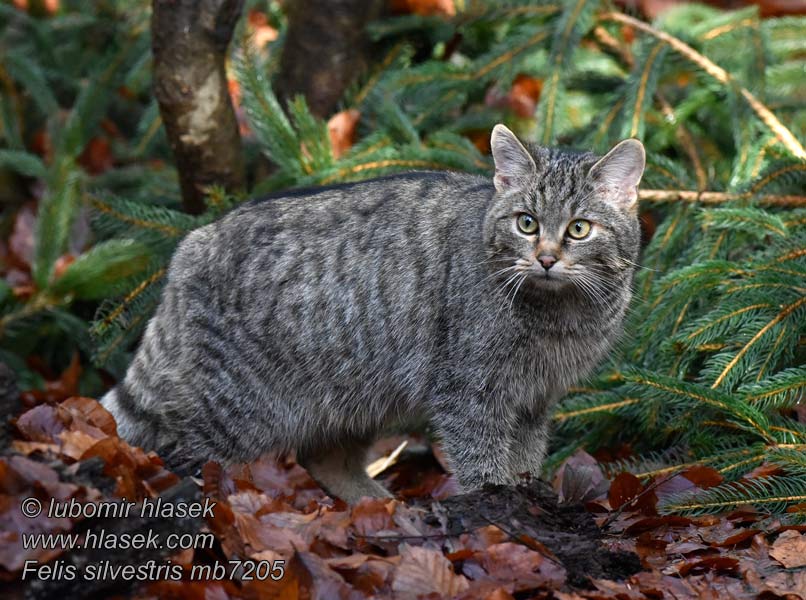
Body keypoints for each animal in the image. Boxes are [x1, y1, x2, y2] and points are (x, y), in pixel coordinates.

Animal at [101, 125, 648, 502]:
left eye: (579, 229)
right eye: (527, 223)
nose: (547, 258)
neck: (558, 317)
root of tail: (194, 241)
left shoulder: (535, 399)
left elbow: (526, 455)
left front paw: (524, 491)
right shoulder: (470, 392)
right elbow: (481, 459)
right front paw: (497, 506)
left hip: (356, 390)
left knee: (323, 458)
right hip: (237, 406)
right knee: (178, 452)